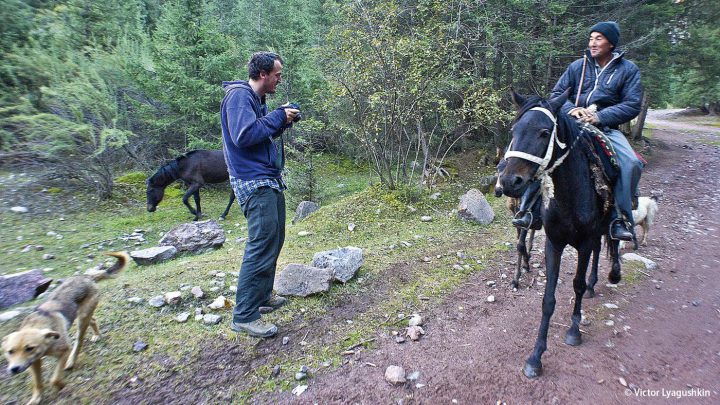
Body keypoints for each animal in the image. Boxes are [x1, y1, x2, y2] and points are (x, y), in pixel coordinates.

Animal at [1, 251, 128, 402]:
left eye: (30, 348)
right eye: (10, 351)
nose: (14, 369)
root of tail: (86, 277)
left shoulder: (63, 351)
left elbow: (54, 379)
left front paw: (61, 385)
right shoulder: (33, 363)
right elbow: (37, 382)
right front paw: (36, 398)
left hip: (82, 319)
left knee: (79, 341)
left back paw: (72, 361)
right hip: (83, 315)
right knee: (93, 320)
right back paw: (96, 335)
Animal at [500, 90, 620, 378]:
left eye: (545, 132)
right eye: (513, 130)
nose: (509, 182)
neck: (570, 195)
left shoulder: (584, 243)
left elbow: (576, 284)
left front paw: (574, 331)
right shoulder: (553, 243)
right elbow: (548, 299)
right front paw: (535, 356)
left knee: (611, 244)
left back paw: (610, 274)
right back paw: (593, 284)